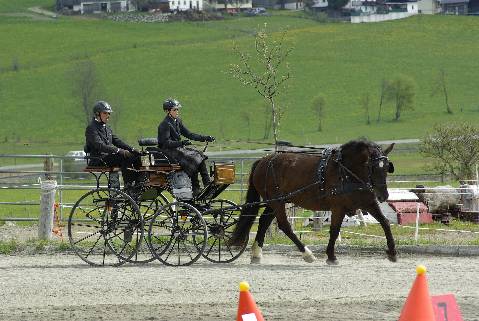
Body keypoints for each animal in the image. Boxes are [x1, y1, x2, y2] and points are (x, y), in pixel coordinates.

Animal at [229, 139, 398, 264]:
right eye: (371, 167)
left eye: (386, 168)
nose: (383, 195)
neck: (347, 172)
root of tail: (264, 160)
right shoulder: (338, 207)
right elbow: (334, 230)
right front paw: (331, 256)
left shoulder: (369, 203)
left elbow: (385, 223)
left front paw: (392, 253)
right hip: (277, 202)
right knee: (284, 226)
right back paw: (307, 254)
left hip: (274, 201)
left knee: (264, 221)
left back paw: (256, 254)